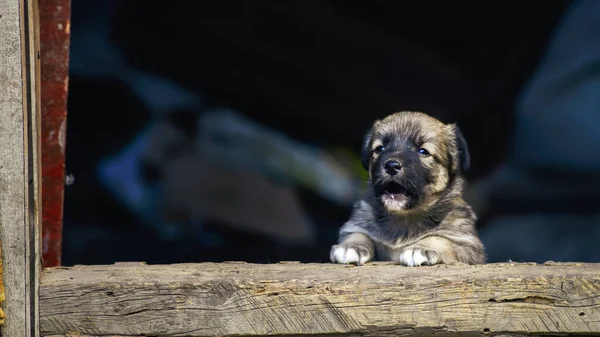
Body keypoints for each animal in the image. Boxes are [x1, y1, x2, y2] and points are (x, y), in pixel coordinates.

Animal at [330, 111, 486, 266]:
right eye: (380, 148)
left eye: (423, 151)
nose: (391, 166)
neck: (402, 216)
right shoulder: (357, 224)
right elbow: (359, 233)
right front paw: (351, 246)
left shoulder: (466, 244)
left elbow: (441, 238)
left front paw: (422, 248)